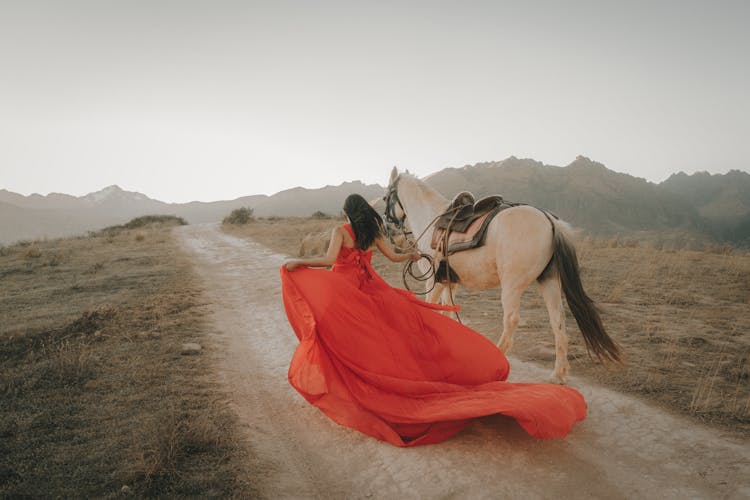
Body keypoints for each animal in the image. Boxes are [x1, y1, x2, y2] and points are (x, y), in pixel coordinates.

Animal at [384, 166, 620, 380]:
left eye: (386, 197)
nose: (388, 229)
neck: (431, 216)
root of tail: (549, 220)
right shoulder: (450, 283)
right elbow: (447, 313)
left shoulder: (433, 282)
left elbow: (431, 310)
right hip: (549, 281)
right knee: (558, 320)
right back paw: (558, 375)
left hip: (512, 286)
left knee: (511, 322)